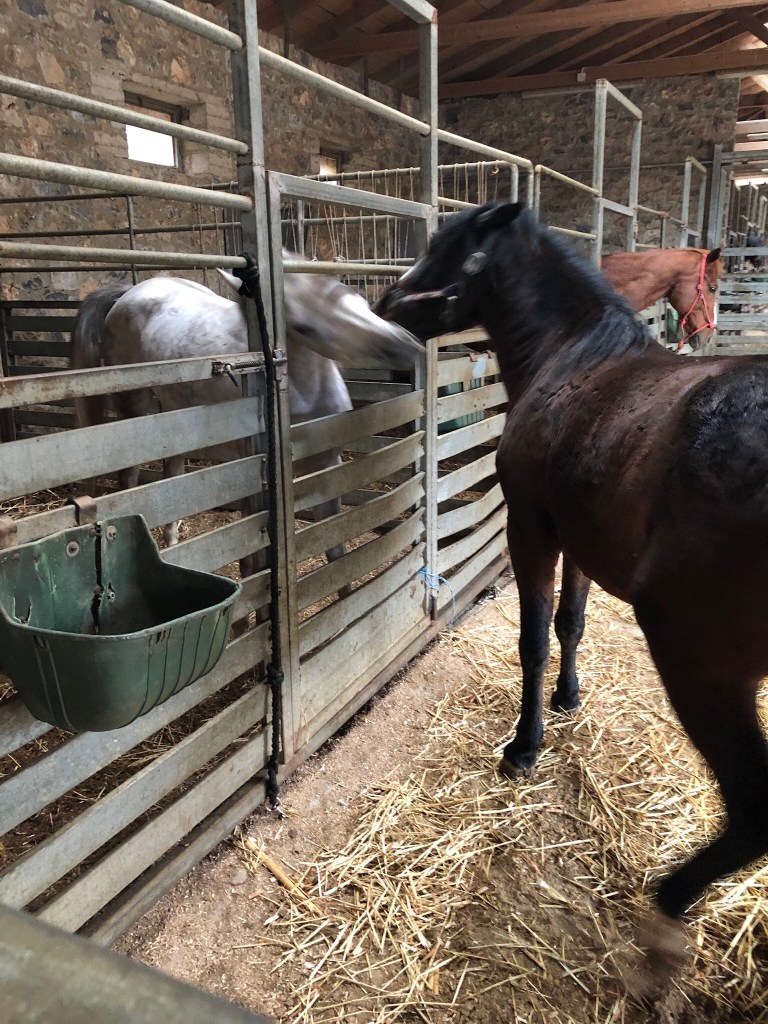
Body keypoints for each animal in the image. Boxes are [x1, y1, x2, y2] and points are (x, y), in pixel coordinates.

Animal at [71, 257, 422, 557]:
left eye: (356, 298)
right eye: (304, 327)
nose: (407, 345)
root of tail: (127, 293)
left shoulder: (327, 464)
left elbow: (335, 549)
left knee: (174, 468)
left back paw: (171, 539)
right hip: (136, 405)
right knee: (129, 474)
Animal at [376, 201, 768, 975]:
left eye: (447, 250)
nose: (386, 301)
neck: (575, 358)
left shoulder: (532, 531)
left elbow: (532, 639)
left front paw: (524, 746)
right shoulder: (578, 539)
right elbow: (571, 625)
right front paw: (568, 697)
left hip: (703, 662)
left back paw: (666, 916)